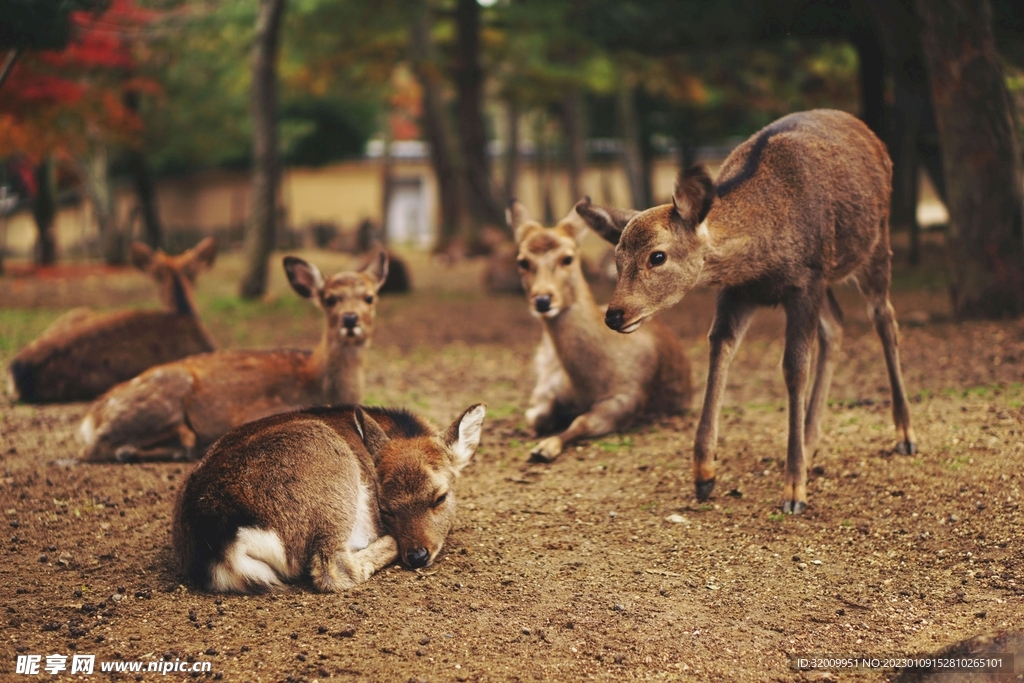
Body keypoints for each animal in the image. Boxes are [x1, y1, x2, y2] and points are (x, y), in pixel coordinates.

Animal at [79, 252, 388, 463]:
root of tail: (90, 417)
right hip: (161, 396)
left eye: (370, 297)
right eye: (329, 299)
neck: (318, 382)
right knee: (95, 448)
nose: (350, 319)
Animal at [510, 201, 693, 462]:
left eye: (568, 258)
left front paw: (544, 448)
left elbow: (582, 422)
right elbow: (537, 415)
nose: (543, 300)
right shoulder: (547, 385)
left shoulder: (628, 397)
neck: (586, 384)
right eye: (522, 261)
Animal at [574, 109, 917, 514]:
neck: (761, 259)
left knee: (885, 319)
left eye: (657, 256)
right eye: (617, 258)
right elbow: (719, 349)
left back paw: (905, 435)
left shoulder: (805, 281)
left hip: (874, 244)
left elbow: (794, 368)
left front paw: (794, 490)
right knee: (836, 324)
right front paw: (704, 474)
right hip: (830, 278)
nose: (615, 314)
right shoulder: (739, 291)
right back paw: (810, 441)